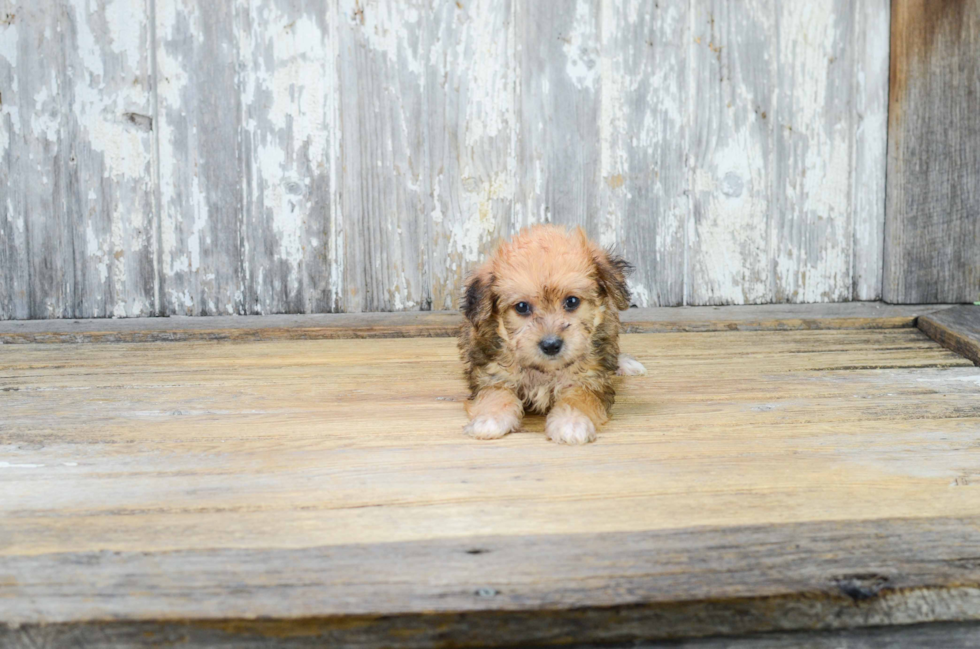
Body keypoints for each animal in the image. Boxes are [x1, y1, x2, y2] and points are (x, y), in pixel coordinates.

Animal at [458, 224, 644, 446]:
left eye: (572, 301)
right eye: (522, 307)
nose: (551, 345)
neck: (545, 371)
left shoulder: (591, 378)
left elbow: (580, 396)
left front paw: (572, 422)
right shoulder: (491, 372)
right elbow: (496, 393)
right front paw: (490, 418)